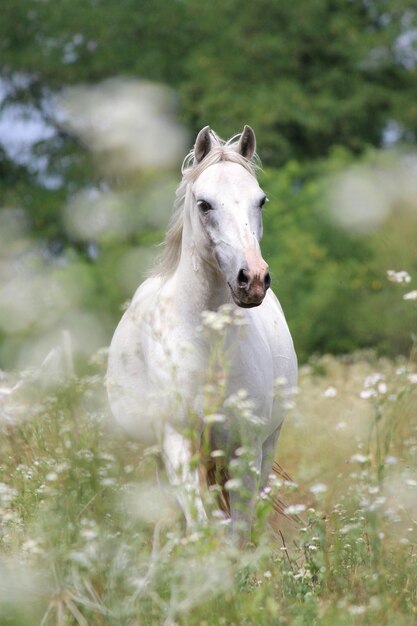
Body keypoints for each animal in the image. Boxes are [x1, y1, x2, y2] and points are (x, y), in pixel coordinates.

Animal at [106, 124, 296, 540]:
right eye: (204, 204)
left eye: (261, 201)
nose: (252, 280)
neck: (209, 346)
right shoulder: (177, 444)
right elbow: (200, 525)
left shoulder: (245, 448)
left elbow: (238, 531)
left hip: (266, 444)